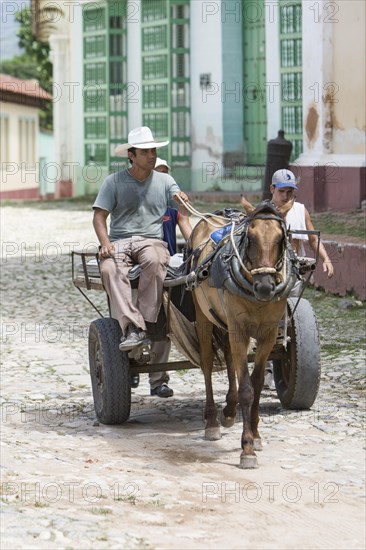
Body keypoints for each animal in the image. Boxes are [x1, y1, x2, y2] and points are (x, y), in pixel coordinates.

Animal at [189, 198, 298, 470]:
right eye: (250, 236)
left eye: (282, 238)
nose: (265, 286)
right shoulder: (240, 330)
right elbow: (247, 388)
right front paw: (247, 448)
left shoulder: (267, 333)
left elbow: (256, 384)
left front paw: (256, 436)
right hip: (204, 317)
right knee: (208, 365)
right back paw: (212, 421)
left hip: (226, 323)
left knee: (229, 358)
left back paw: (229, 409)